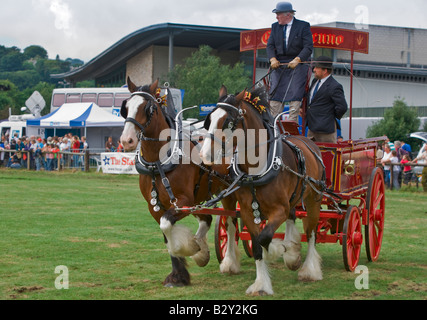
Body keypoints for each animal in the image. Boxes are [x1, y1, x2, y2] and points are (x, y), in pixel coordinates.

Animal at [120, 78, 239, 288]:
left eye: (148, 108)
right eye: (126, 108)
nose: (127, 140)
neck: (159, 162)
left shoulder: (184, 200)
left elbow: (167, 226)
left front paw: (189, 248)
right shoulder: (156, 206)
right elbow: (166, 233)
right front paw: (178, 275)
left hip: (229, 192)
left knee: (231, 224)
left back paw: (229, 261)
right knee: (207, 219)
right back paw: (202, 249)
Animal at [201, 85, 324, 296]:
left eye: (228, 121)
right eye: (208, 120)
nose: (205, 155)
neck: (256, 170)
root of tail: (309, 142)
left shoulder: (279, 210)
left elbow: (265, 237)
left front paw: (279, 250)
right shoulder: (248, 212)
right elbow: (258, 244)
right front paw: (261, 284)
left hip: (312, 199)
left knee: (311, 232)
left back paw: (309, 269)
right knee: (292, 217)